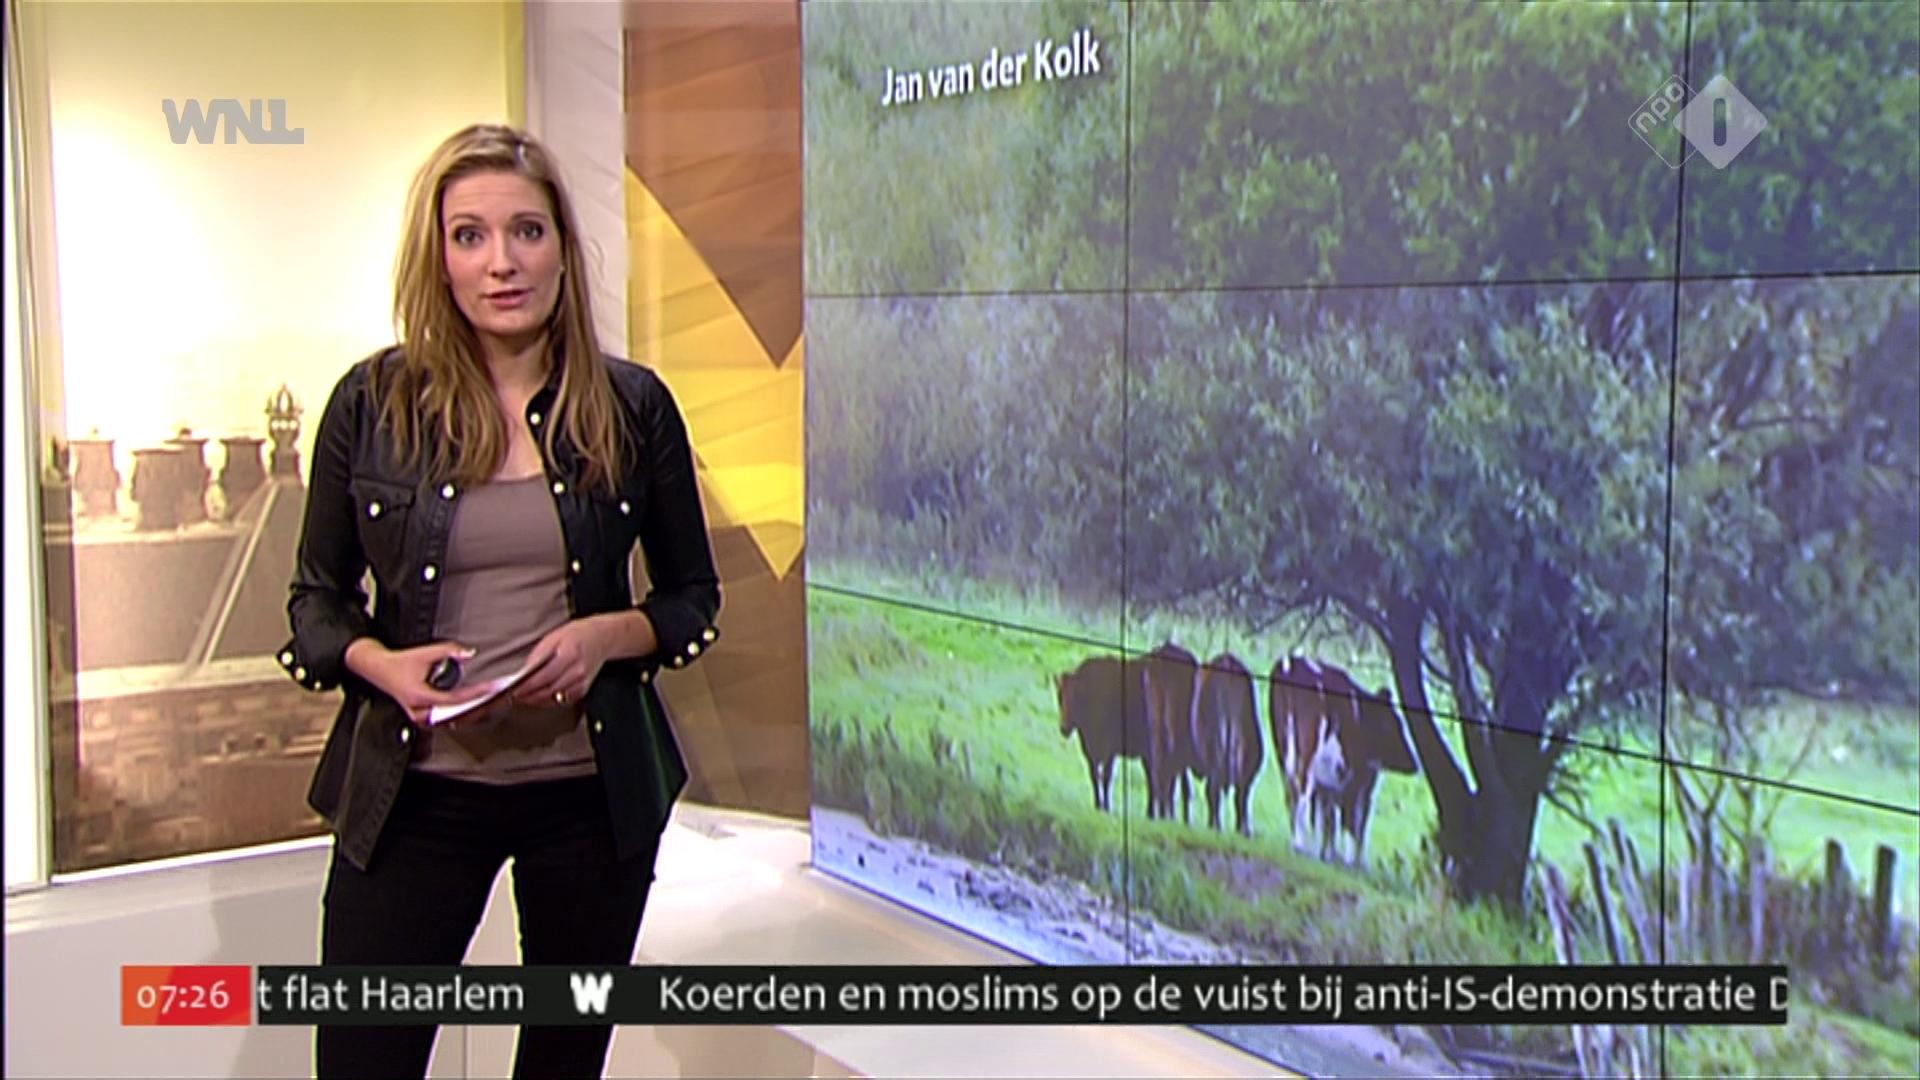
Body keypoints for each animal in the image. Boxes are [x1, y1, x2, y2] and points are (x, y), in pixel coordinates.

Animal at [1056, 655, 1148, 814]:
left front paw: (1106, 808)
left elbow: (1106, 777)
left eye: (1077, 696)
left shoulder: (1109, 751)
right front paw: (1097, 804)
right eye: (1060, 697)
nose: (1064, 728)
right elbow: (1094, 776)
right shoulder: (1089, 749)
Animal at [1270, 656, 1418, 866]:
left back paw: (1299, 844)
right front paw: (1350, 861)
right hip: (1308, 748)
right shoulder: (1355, 776)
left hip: (1281, 748)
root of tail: (1289, 663)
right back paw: (1301, 846)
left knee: (1291, 793)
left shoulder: (1330, 783)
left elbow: (1328, 819)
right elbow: (1352, 820)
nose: (1415, 763)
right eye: (1392, 725)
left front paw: (1328, 855)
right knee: (1302, 791)